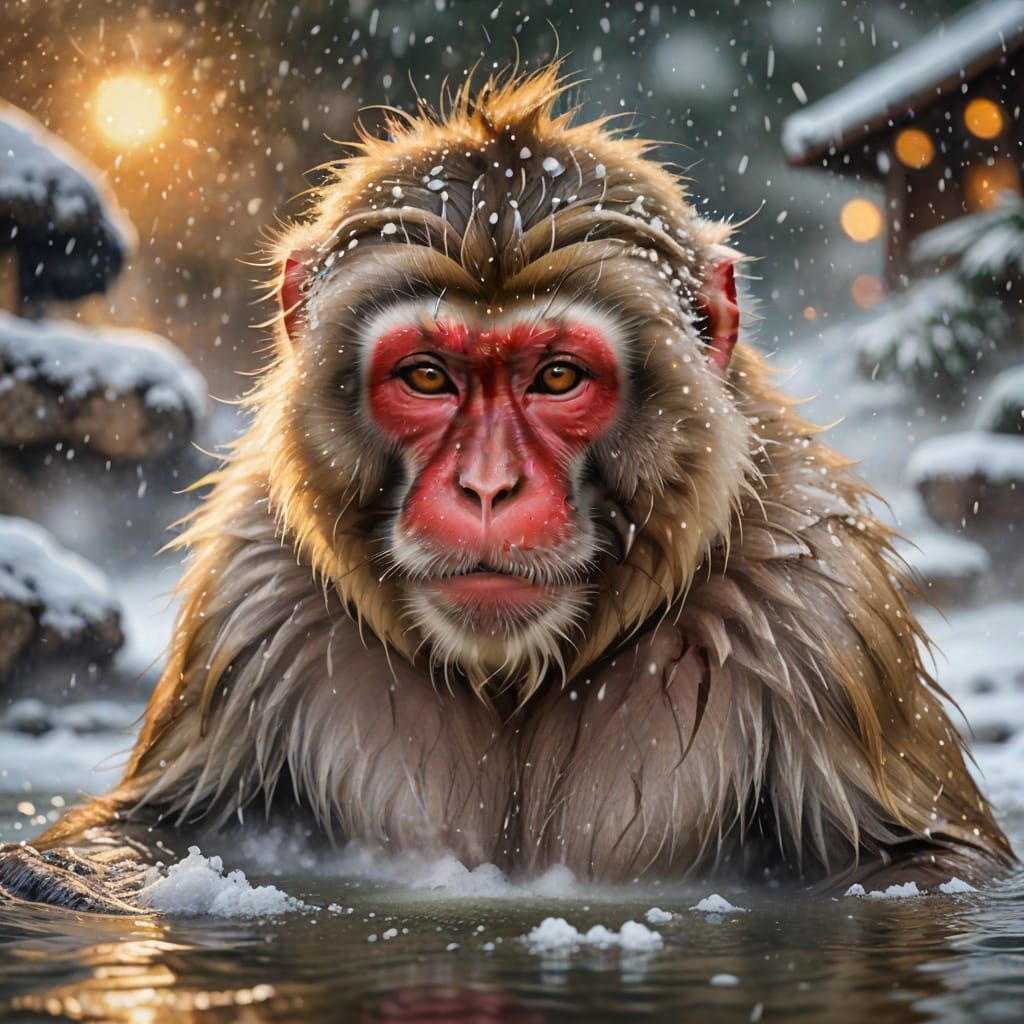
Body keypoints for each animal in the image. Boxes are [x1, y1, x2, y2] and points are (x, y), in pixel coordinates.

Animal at [0, 67, 1013, 912]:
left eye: (557, 377)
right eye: (428, 377)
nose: (488, 487)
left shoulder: (819, 609)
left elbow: (927, 861)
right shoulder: (250, 606)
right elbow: (149, 828)